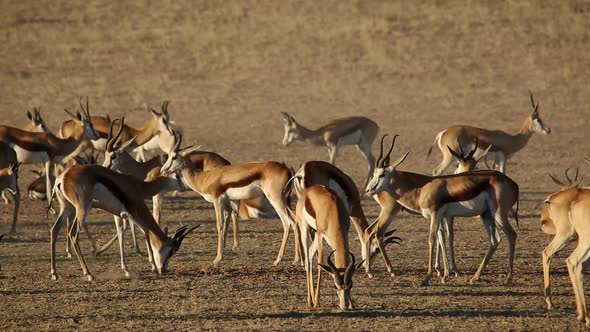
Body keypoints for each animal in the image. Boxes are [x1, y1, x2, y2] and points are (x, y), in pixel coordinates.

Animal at [49, 163, 197, 280]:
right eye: (171, 251)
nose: (164, 270)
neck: (137, 187)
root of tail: (63, 177)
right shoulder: (131, 213)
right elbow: (145, 230)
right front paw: (153, 267)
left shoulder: (120, 214)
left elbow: (121, 233)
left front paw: (126, 270)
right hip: (82, 209)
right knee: (73, 234)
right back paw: (89, 274)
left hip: (67, 207)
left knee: (54, 230)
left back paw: (54, 273)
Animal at [161, 130, 296, 268]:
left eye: (174, 157)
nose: (163, 170)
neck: (203, 178)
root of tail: (288, 171)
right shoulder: (227, 202)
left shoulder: (217, 200)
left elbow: (219, 225)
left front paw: (217, 259)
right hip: (283, 200)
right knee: (294, 220)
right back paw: (295, 259)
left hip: (275, 199)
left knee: (288, 221)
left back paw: (280, 260)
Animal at [368, 135, 520, 286]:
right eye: (374, 174)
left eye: (382, 174)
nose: (369, 190)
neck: (421, 189)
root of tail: (513, 184)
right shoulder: (442, 216)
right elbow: (442, 239)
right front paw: (444, 275)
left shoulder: (436, 214)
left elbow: (432, 239)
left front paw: (428, 277)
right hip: (486, 215)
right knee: (495, 240)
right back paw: (474, 278)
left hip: (498, 214)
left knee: (511, 235)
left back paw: (508, 278)